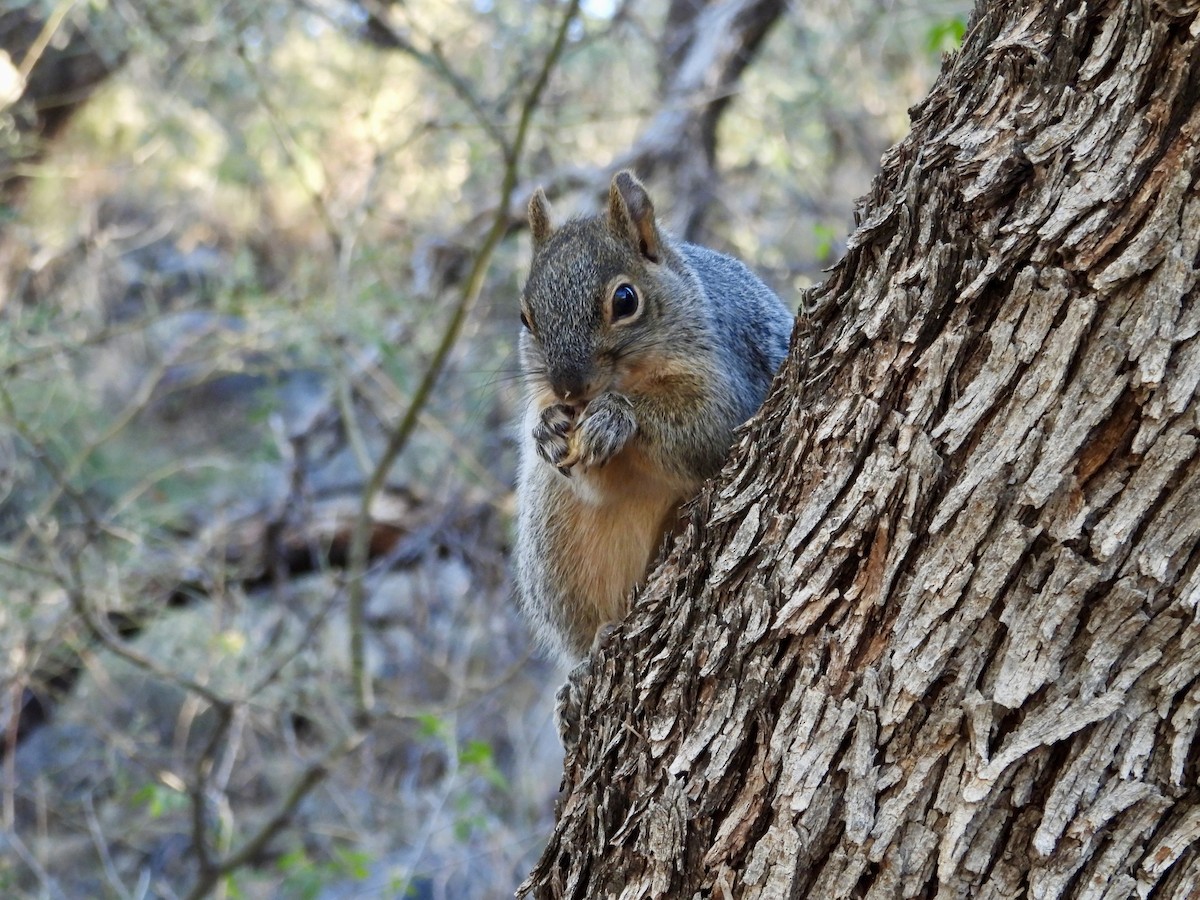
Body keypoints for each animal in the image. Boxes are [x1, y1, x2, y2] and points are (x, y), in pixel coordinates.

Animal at [514, 170, 794, 664]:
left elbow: (707, 433)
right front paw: (547, 430)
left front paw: (615, 418)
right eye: (525, 318)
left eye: (625, 300)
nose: (569, 388)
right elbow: (590, 480)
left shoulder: (729, 378)